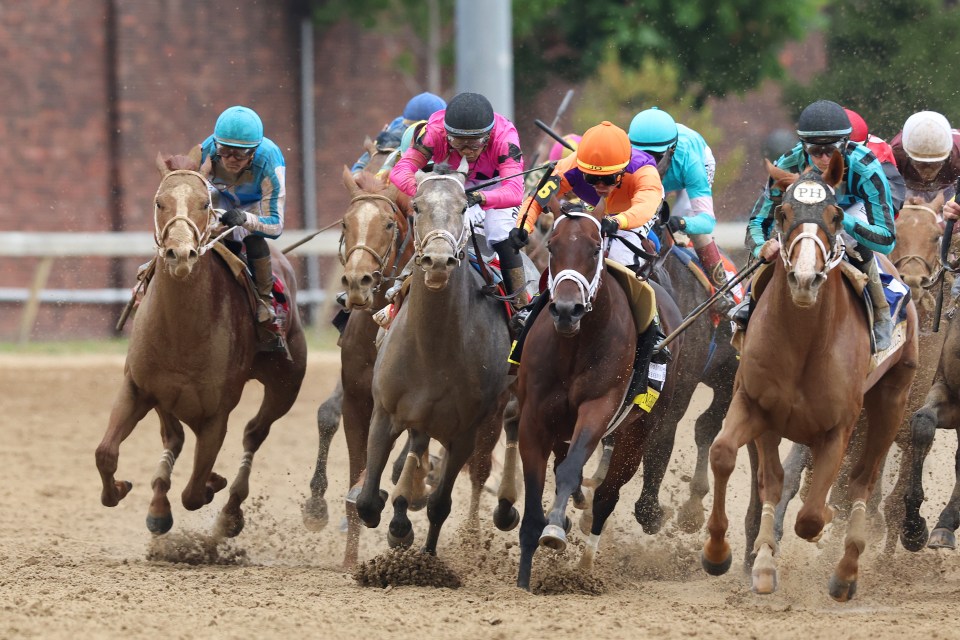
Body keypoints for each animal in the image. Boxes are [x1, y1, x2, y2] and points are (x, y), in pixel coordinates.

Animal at [95, 146, 306, 540]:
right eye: (159, 202)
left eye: (205, 203)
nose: (180, 254)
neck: (183, 334)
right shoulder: (138, 388)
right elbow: (105, 453)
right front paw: (122, 489)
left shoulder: (215, 414)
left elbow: (194, 492)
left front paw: (212, 485)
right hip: (165, 398)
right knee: (173, 437)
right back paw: (160, 505)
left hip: (285, 384)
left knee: (254, 433)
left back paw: (229, 511)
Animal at [354, 164, 516, 556]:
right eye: (416, 207)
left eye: (463, 207)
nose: (439, 261)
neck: (434, 348)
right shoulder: (386, 413)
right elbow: (367, 503)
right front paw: (395, 519)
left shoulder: (466, 431)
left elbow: (440, 504)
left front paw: (424, 556)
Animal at [512, 211, 688, 592]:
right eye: (552, 247)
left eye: (595, 249)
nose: (566, 310)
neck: (574, 345)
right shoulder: (533, 418)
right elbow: (534, 491)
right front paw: (523, 578)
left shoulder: (599, 408)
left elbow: (571, 470)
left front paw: (554, 530)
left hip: (639, 431)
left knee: (607, 495)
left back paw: (585, 566)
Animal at [700, 154, 920, 600]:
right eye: (782, 213)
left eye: (835, 216)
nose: (804, 279)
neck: (804, 342)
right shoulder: (754, 404)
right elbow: (728, 456)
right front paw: (724, 555)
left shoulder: (839, 426)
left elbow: (813, 516)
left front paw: (818, 534)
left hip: (891, 401)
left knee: (862, 481)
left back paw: (846, 572)